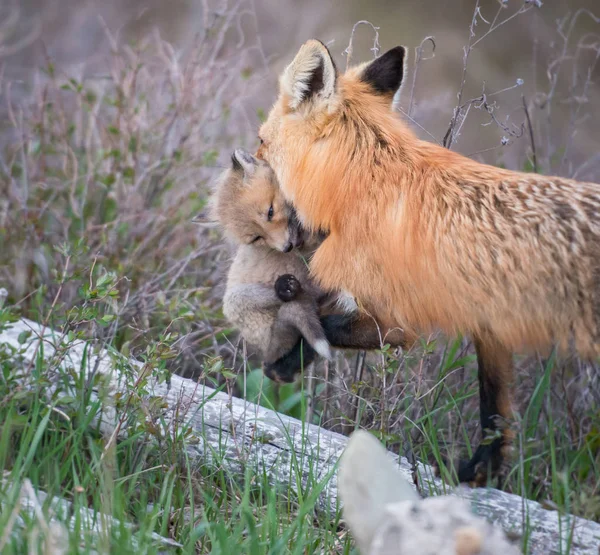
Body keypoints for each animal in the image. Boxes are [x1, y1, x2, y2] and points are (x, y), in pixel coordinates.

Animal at [256, 39, 600, 486]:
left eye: (261, 142)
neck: (367, 186)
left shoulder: (397, 320)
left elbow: (326, 325)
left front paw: (284, 363)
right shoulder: (489, 325)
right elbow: (495, 409)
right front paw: (481, 473)